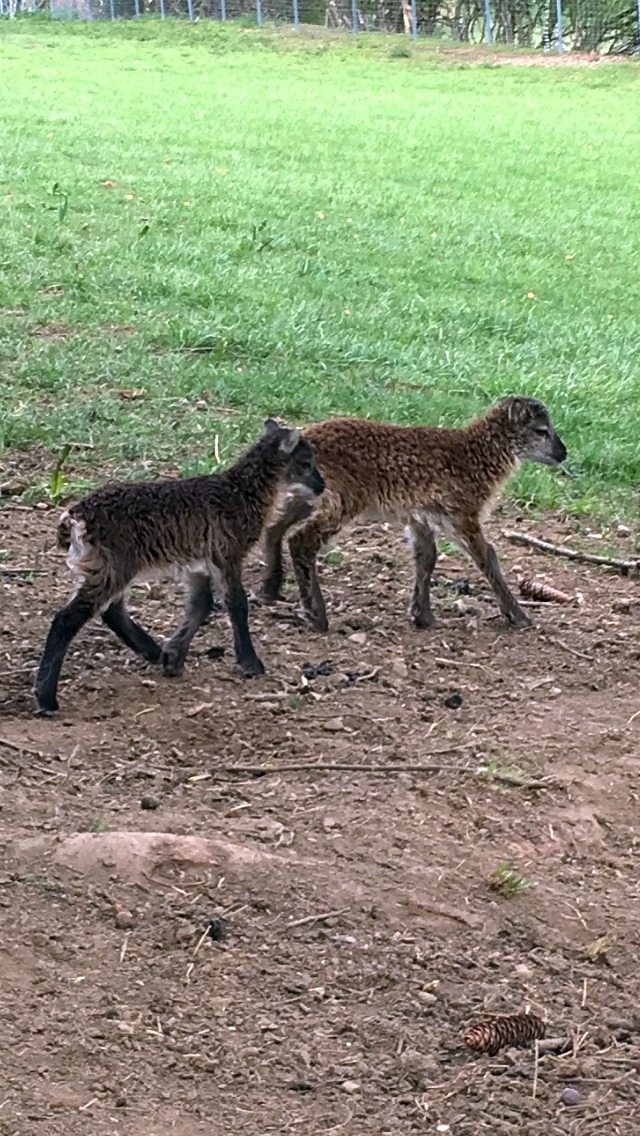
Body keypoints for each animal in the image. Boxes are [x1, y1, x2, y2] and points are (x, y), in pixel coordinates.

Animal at [34, 422, 325, 713]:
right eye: (306, 462)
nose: (321, 487)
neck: (241, 492)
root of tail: (75, 516)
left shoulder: (198, 564)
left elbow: (200, 605)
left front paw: (173, 658)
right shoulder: (227, 553)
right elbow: (237, 604)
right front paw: (250, 663)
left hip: (108, 565)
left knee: (111, 610)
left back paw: (152, 651)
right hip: (113, 565)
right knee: (68, 618)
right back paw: (46, 698)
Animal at [262, 397, 568, 631]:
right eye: (542, 431)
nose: (562, 453)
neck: (478, 455)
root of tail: (309, 438)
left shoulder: (420, 516)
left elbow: (426, 558)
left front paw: (422, 616)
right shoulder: (462, 512)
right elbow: (487, 556)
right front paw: (518, 616)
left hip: (310, 493)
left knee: (274, 528)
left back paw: (271, 589)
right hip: (343, 499)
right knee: (301, 542)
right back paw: (317, 616)